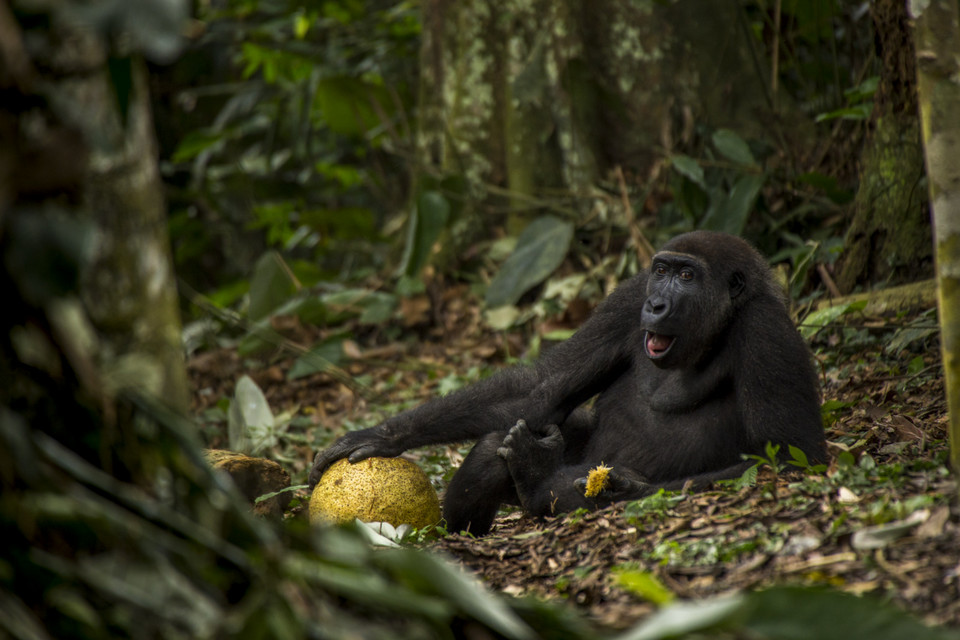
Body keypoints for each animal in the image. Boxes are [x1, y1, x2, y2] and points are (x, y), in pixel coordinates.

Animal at [310, 230, 824, 536]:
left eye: (687, 275)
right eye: (660, 271)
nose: (657, 305)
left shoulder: (766, 331)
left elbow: (790, 457)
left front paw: (625, 489)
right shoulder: (627, 298)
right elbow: (541, 388)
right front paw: (384, 434)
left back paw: (538, 480)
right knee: (503, 436)